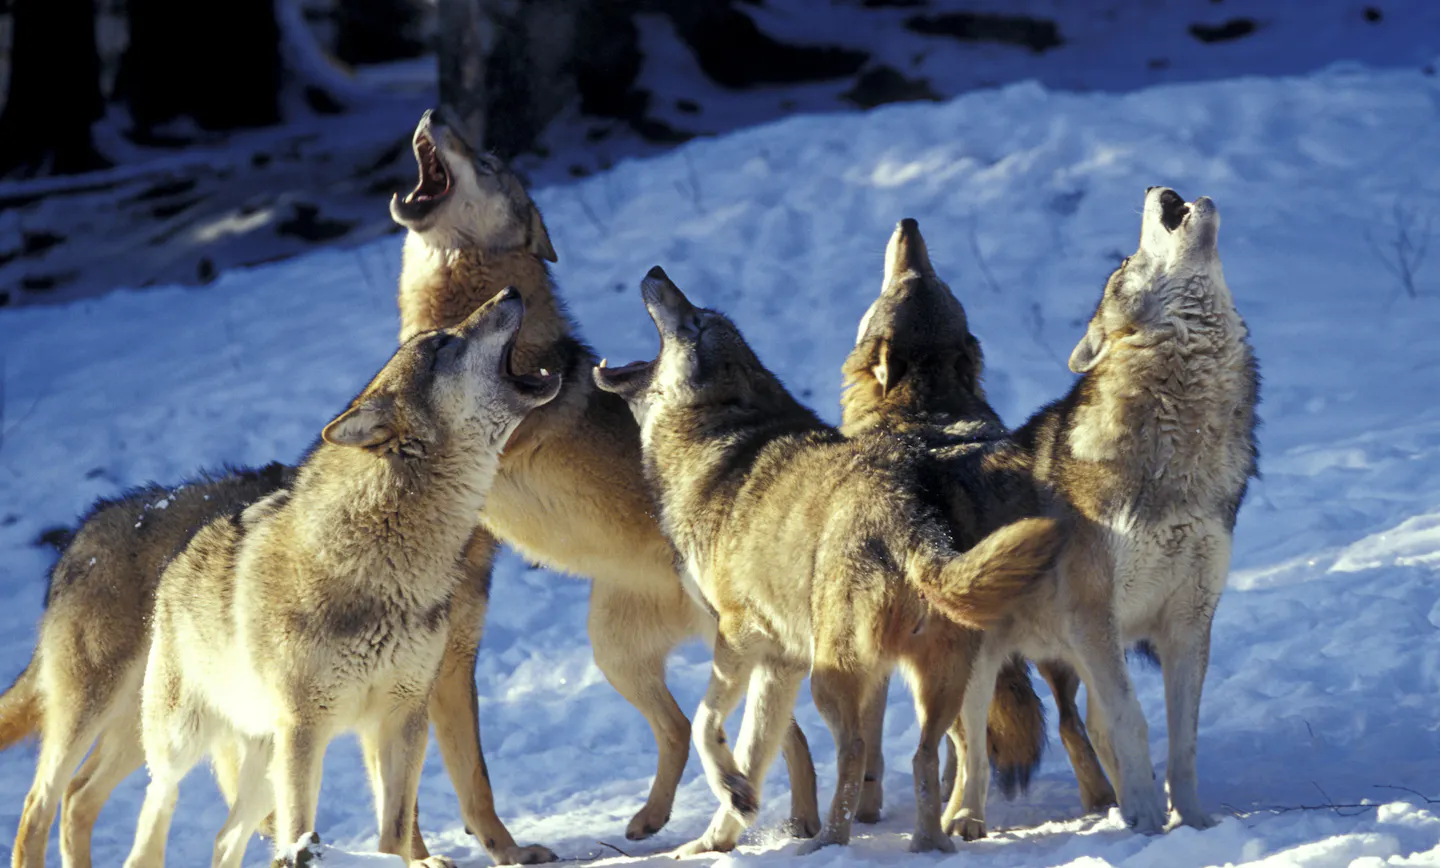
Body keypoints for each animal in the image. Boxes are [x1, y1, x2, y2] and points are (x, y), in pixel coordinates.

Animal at [121, 290, 561, 868]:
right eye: (441, 345)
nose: (509, 293)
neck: (386, 565)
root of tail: (180, 556)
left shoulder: (403, 717)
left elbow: (395, 827)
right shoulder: (308, 731)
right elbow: (302, 829)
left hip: (264, 757)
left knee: (224, 836)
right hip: (186, 744)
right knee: (155, 811)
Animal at [593, 267, 1065, 855]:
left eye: (695, 321)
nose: (656, 273)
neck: (714, 446)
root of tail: (910, 512)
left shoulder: (739, 636)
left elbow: (706, 725)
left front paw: (730, 799)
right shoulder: (778, 661)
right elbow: (754, 750)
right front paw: (719, 832)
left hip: (831, 677)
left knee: (859, 752)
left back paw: (828, 845)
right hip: (938, 681)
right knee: (928, 755)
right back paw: (929, 844)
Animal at [839, 218, 1117, 818]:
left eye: (916, 278)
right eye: (932, 279)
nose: (910, 223)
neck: (923, 406)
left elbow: (871, 742)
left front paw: (868, 811)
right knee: (1068, 723)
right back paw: (1098, 799)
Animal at [936, 188, 1260, 838]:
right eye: (1126, 264)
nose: (1160, 191)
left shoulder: (1189, 621)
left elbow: (1182, 741)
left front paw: (1192, 821)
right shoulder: (1095, 619)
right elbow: (1134, 721)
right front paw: (1148, 820)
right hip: (983, 669)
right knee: (970, 754)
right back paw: (964, 822)